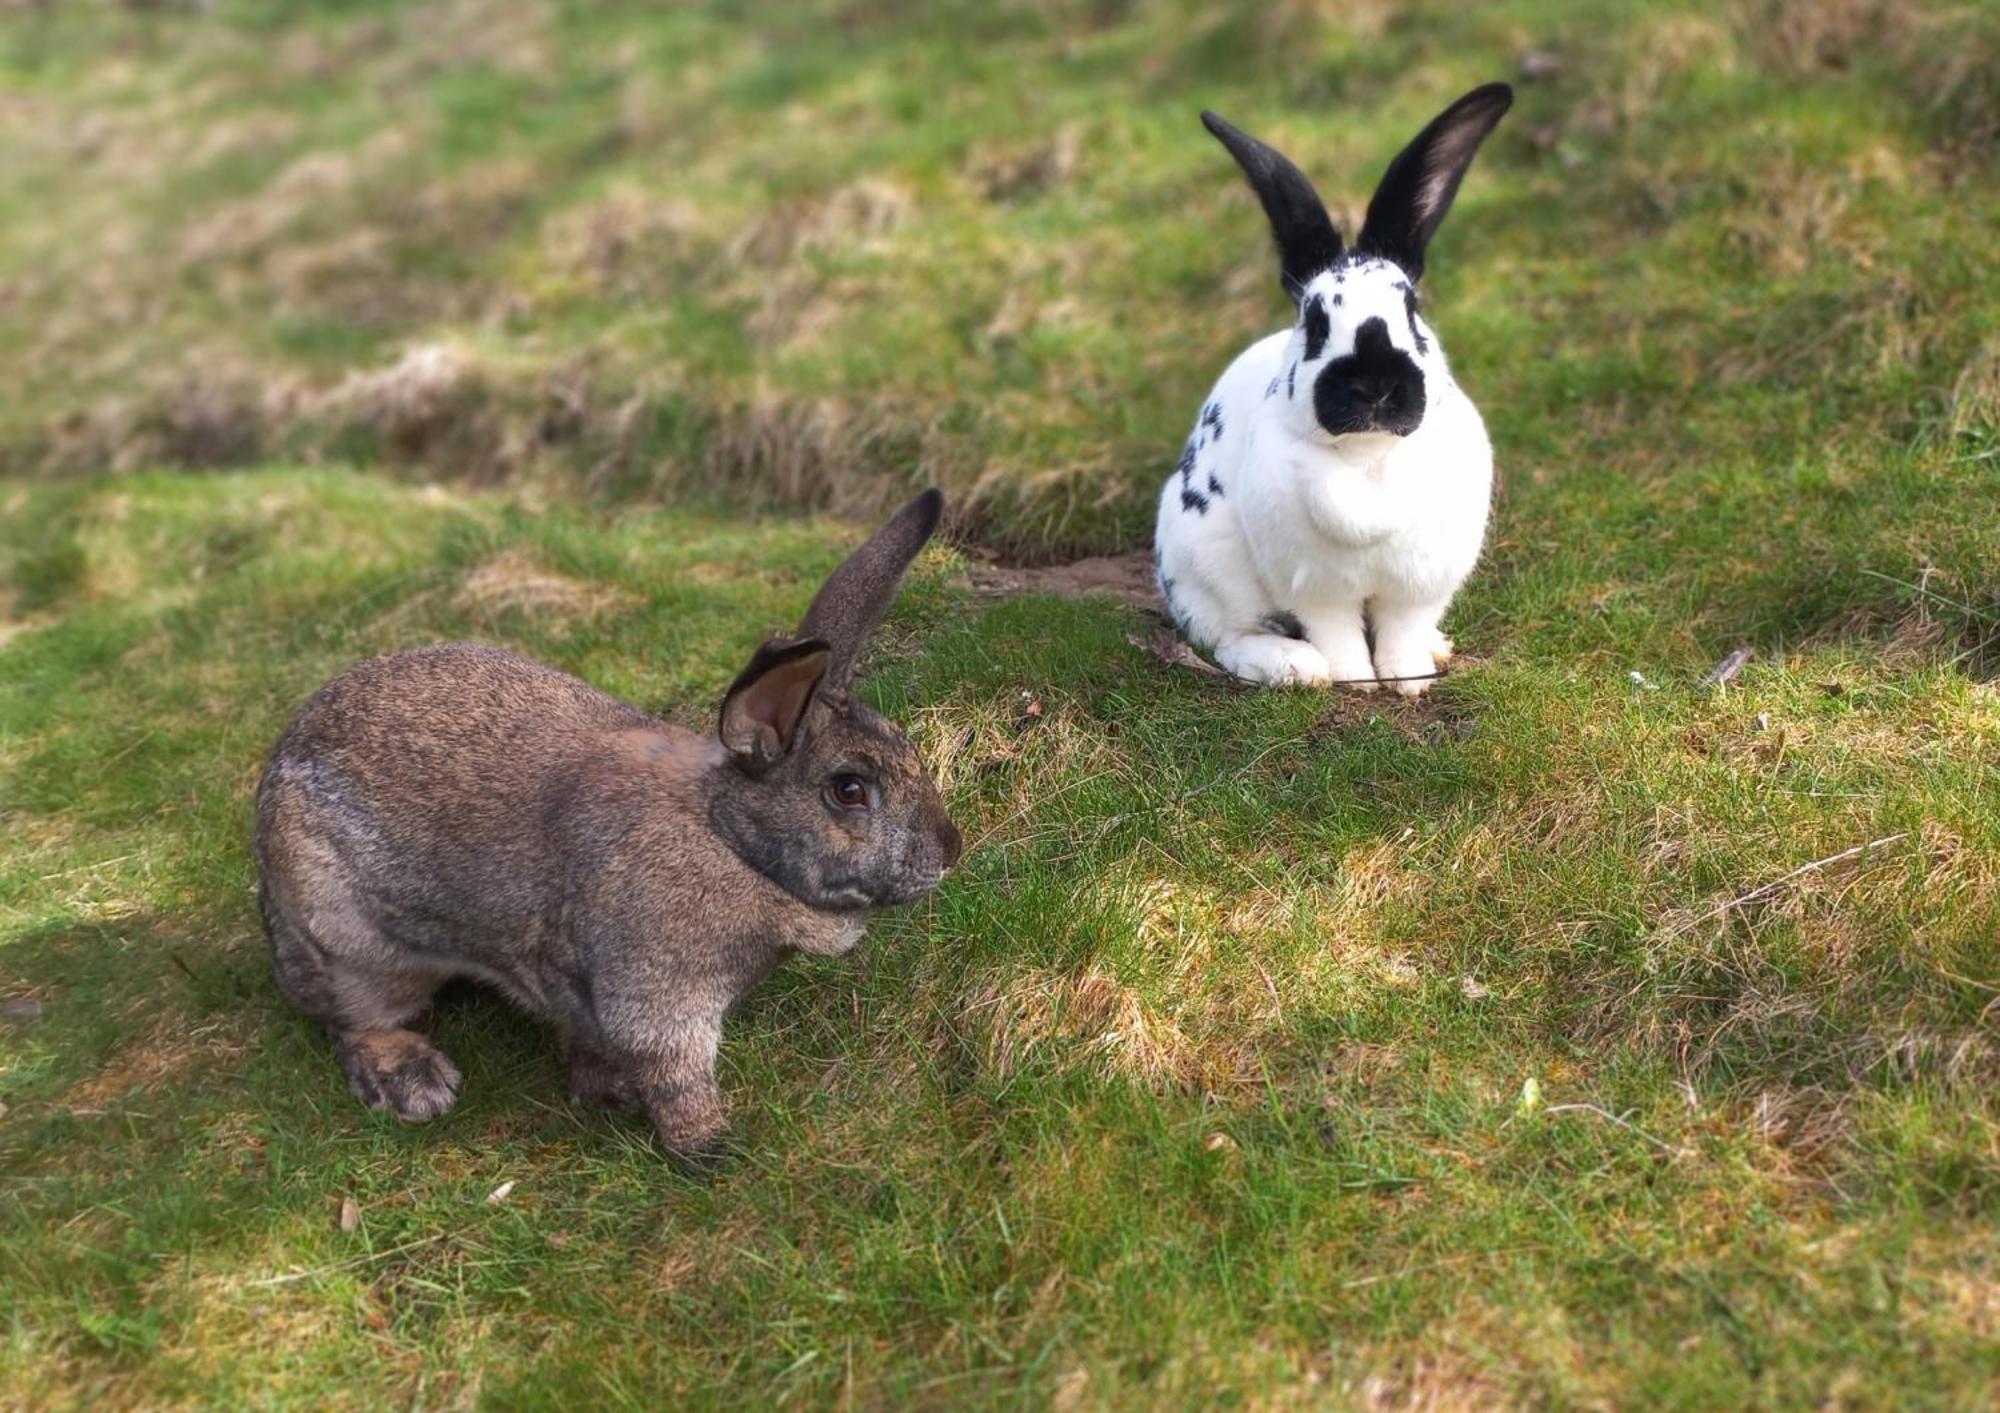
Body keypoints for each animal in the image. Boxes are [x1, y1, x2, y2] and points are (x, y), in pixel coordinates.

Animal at [252, 490, 960, 1160]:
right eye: (848, 790)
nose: (949, 850)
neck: (730, 839)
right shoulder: (656, 994)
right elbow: (676, 1074)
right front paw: (709, 1147)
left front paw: (604, 1088)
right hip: (351, 943)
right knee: (351, 1021)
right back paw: (413, 1083)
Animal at [1160, 82, 1512, 692]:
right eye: (1314, 319)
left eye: (1411, 308)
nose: (1374, 384)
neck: (1367, 456)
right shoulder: (1315, 588)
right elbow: (1338, 633)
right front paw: (1353, 678)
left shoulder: (1418, 586)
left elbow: (1401, 629)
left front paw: (1408, 679)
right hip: (1206, 558)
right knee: (1227, 636)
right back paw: (1294, 667)